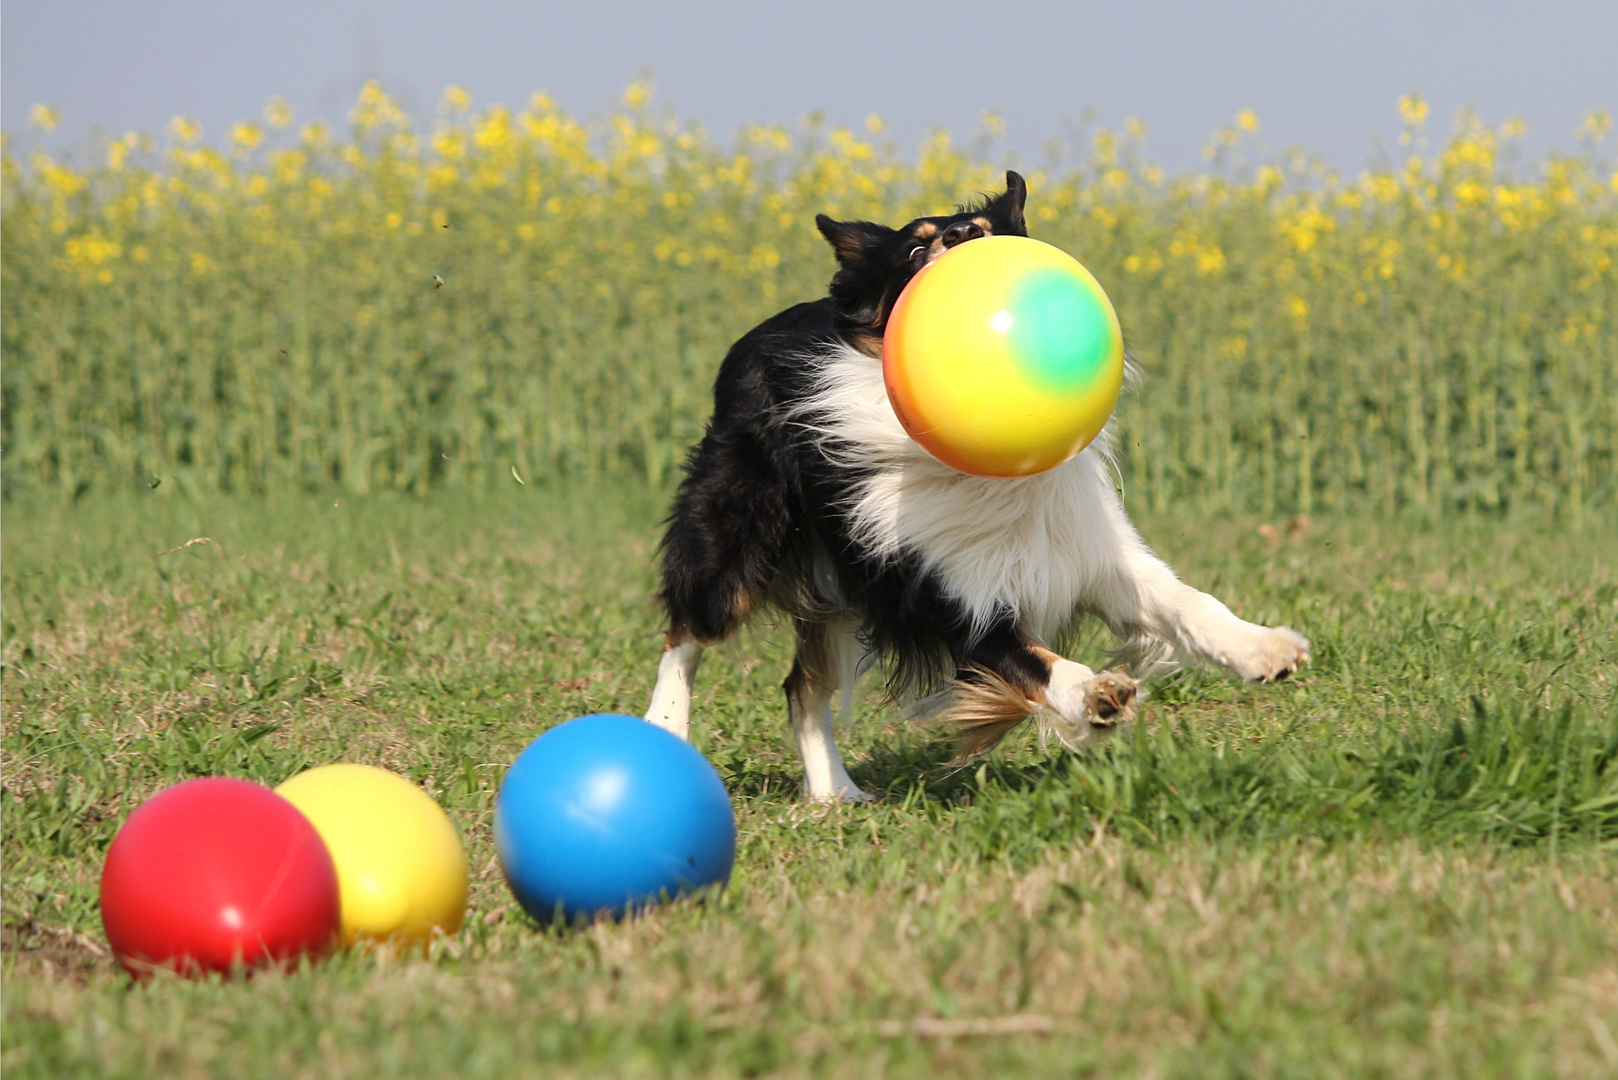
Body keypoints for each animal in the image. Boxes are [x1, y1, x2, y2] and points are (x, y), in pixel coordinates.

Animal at [637, 170, 1307, 803]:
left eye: (986, 231)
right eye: (914, 250)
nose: (959, 236)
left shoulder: (1091, 549)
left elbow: (1187, 602)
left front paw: (1265, 649)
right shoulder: (942, 586)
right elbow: (1034, 660)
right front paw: (1094, 694)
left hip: (841, 579)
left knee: (802, 683)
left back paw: (835, 793)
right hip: (738, 532)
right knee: (689, 631)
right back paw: (665, 728)